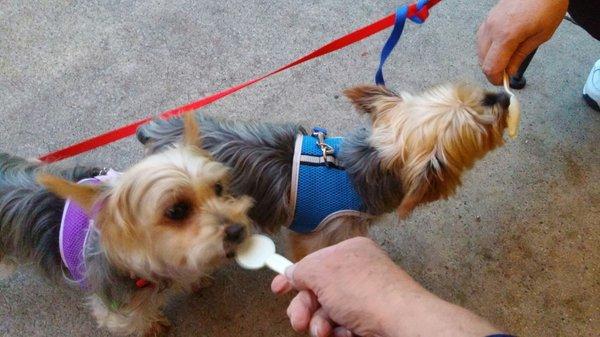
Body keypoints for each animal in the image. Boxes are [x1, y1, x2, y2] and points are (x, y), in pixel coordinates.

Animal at [139, 82, 510, 258]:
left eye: (474, 94)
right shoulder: (322, 233)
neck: (362, 165)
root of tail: (157, 130)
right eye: (481, 128)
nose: (504, 97)